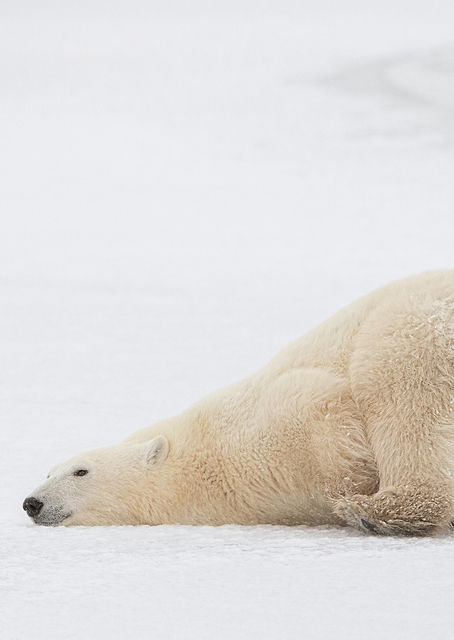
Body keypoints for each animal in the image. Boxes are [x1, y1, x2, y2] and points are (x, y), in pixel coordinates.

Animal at [23, 270, 454, 535]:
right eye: (48, 470)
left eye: (80, 471)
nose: (31, 502)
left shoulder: (277, 415)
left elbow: (322, 403)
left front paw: (354, 487)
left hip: (414, 327)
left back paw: (377, 512)